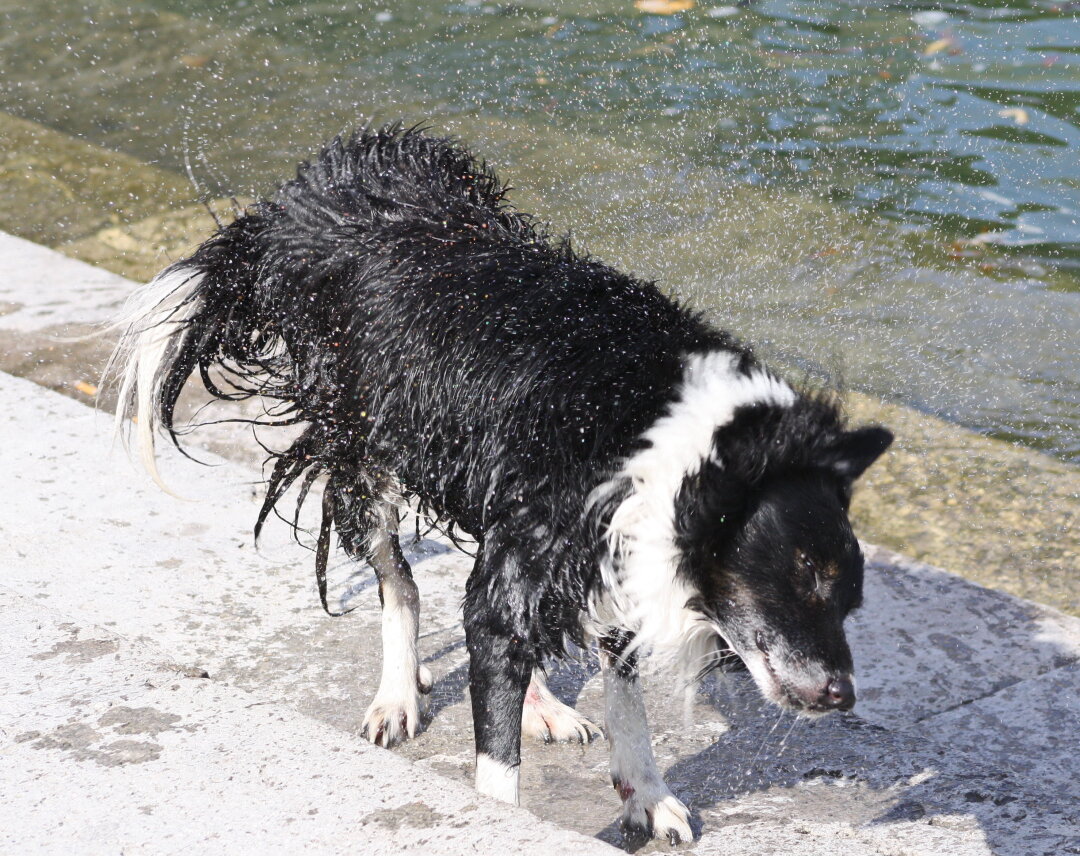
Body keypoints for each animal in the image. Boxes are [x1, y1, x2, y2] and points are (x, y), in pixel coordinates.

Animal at [111, 125, 894, 841]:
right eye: (804, 578)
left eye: (849, 597)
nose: (842, 694)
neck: (653, 427)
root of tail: (300, 194)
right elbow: (497, 752)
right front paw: (500, 815)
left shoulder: (606, 552)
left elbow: (622, 696)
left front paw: (646, 794)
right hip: (364, 449)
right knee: (400, 580)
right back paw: (399, 695)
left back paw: (541, 700)